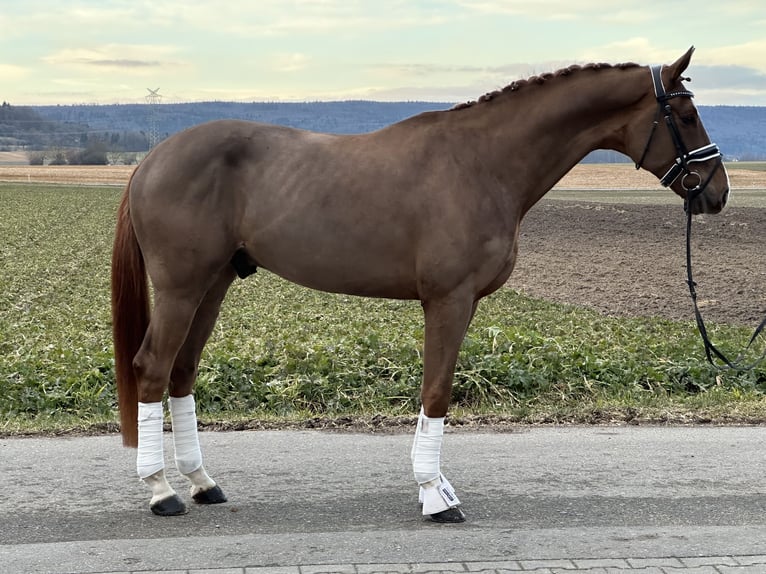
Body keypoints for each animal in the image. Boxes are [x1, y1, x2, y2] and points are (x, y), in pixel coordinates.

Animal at [111, 49, 728, 524]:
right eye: (686, 113)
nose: (717, 192)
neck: (482, 163)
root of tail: (151, 158)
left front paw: (435, 487)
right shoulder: (448, 300)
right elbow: (437, 392)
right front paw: (435, 497)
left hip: (213, 285)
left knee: (182, 372)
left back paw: (202, 483)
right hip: (182, 288)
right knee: (152, 368)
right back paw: (162, 492)